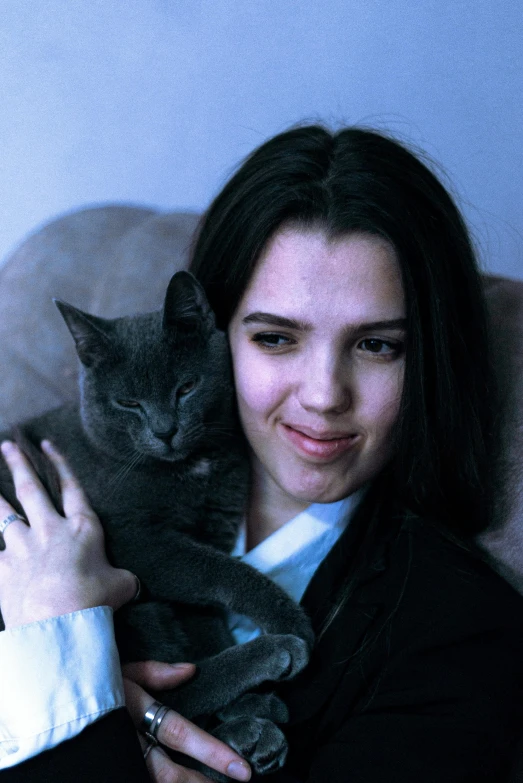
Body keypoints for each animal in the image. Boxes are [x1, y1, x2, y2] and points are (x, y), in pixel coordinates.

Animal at [0, 272, 314, 776]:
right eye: (128, 402)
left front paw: (245, 706)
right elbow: (218, 573)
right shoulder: (134, 541)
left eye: (186, 388)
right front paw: (286, 622)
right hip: (134, 612)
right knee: (147, 692)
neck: (192, 472)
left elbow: (207, 617)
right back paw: (273, 666)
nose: (165, 430)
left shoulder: (212, 534)